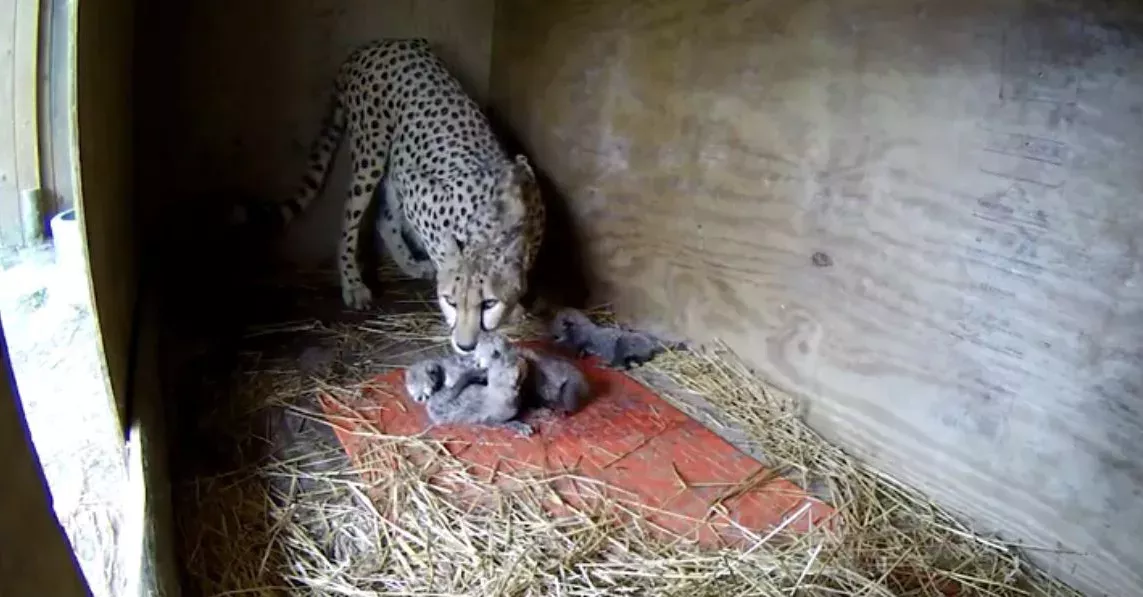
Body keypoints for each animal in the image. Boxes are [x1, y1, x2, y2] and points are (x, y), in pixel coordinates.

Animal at [243, 38, 545, 355]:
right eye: (452, 302)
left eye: (488, 303)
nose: (465, 345)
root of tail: (376, 45)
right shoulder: (419, 191)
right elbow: (440, 250)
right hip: (370, 154)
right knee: (350, 222)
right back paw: (353, 284)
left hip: (398, 160)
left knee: (384, 219)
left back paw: (409, 265)